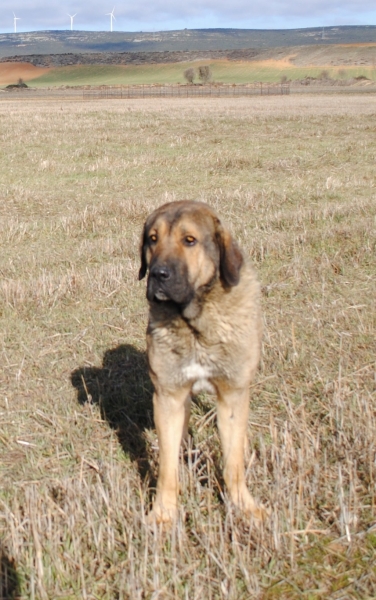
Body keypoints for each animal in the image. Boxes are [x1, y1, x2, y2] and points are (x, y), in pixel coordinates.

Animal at [138, 199, 264, 524]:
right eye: (153, 239)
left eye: (189, 240)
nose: (158, 274)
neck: (195, 324)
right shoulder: (168, 397)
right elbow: (167, 468)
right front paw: (164, 514)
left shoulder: (233, 395)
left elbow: (233, 463)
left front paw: (243, 507)